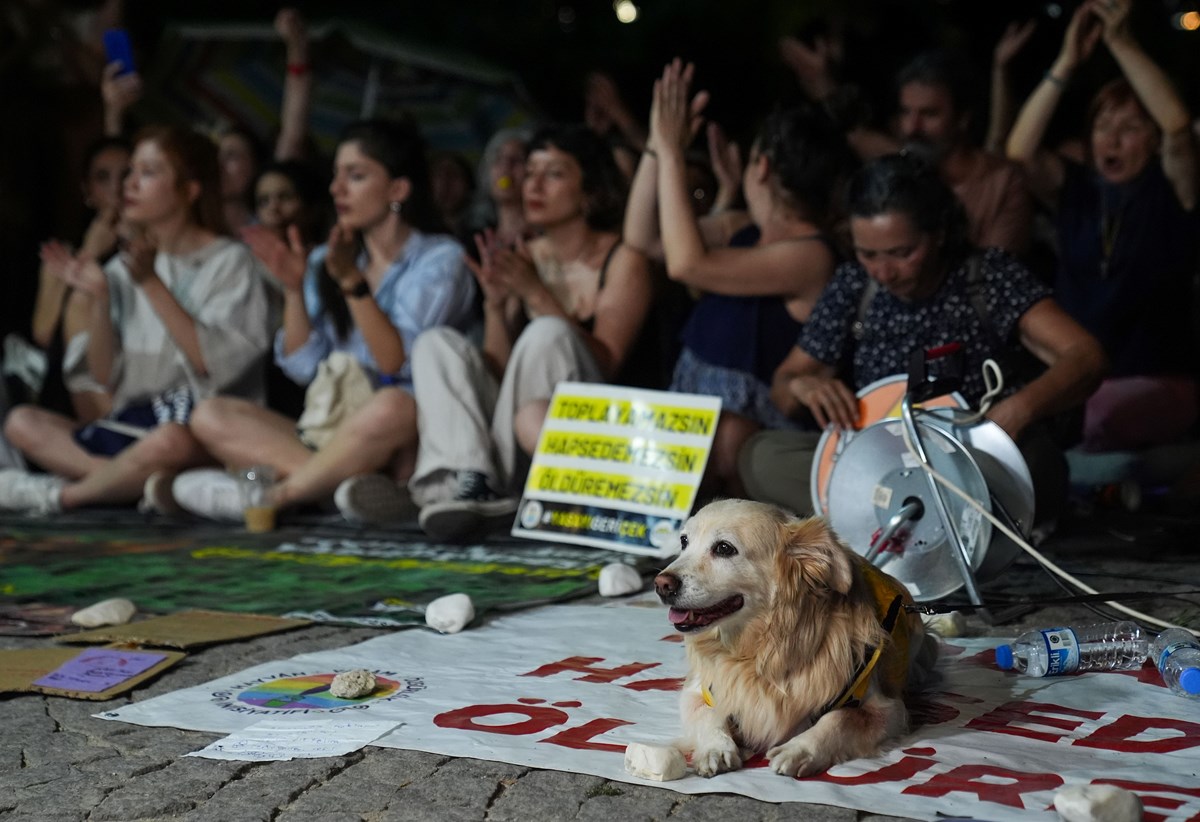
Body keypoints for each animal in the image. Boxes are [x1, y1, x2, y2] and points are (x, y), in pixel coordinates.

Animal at [657, 496, 936, 772]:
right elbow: (708, 715)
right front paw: (716, 748)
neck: (760, 648)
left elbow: (839, 718)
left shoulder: (888, 710)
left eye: (724, 548)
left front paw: (800, 749)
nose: (661, 584)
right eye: (684, 542)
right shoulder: (698, 690)